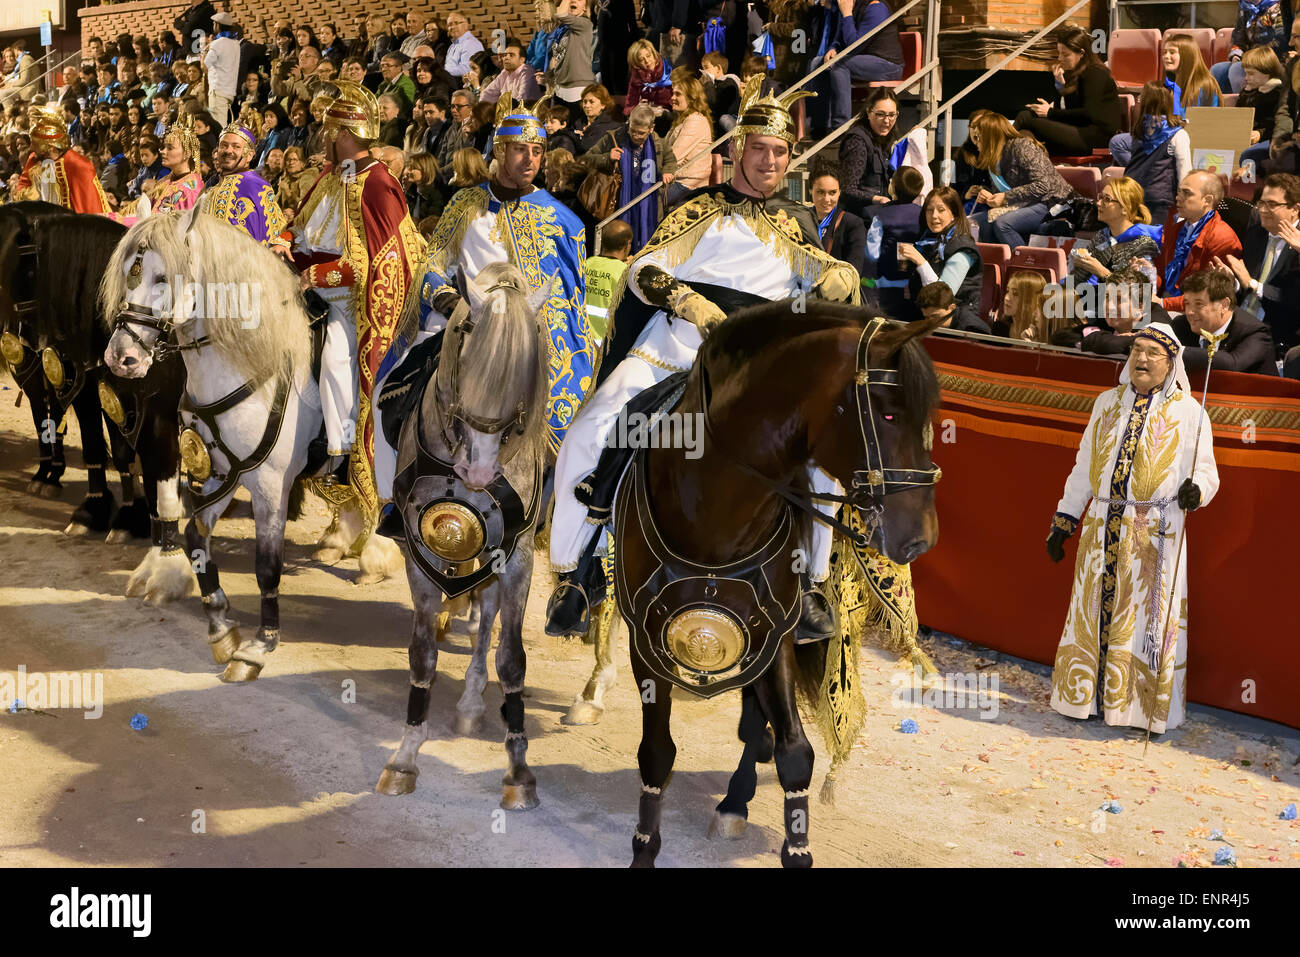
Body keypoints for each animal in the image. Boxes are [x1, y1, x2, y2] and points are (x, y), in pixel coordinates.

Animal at [102, 205, 400, 676]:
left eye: (163, 277)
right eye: (129, 272)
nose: (121, 358)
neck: (249, 365)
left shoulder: (270, 485)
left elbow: (267, 567)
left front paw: (261, 645)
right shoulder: (220, 473)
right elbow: (195, 539)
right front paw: (221, 627)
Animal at [613, 304, 941, 868]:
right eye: (889, 414)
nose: (921, 539)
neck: (714, 508)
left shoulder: (776, 636)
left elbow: (794, 753)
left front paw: (797, 847)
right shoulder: (645, 643)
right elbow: (656, 753)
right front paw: (643, 850)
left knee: (755, 725)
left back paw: (735, 800)